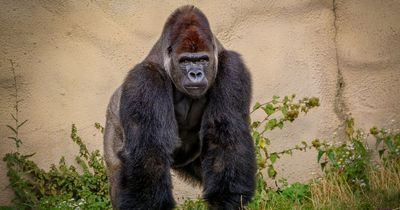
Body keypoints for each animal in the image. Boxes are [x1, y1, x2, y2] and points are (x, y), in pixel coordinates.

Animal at [104, 5, 256, 210]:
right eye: (185, 61)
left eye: (202, 60)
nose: (195, 74)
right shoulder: (146, 79)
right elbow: (149, 150)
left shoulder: (232, 67)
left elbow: (225, 135)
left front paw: (226, 200)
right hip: (112, 124)